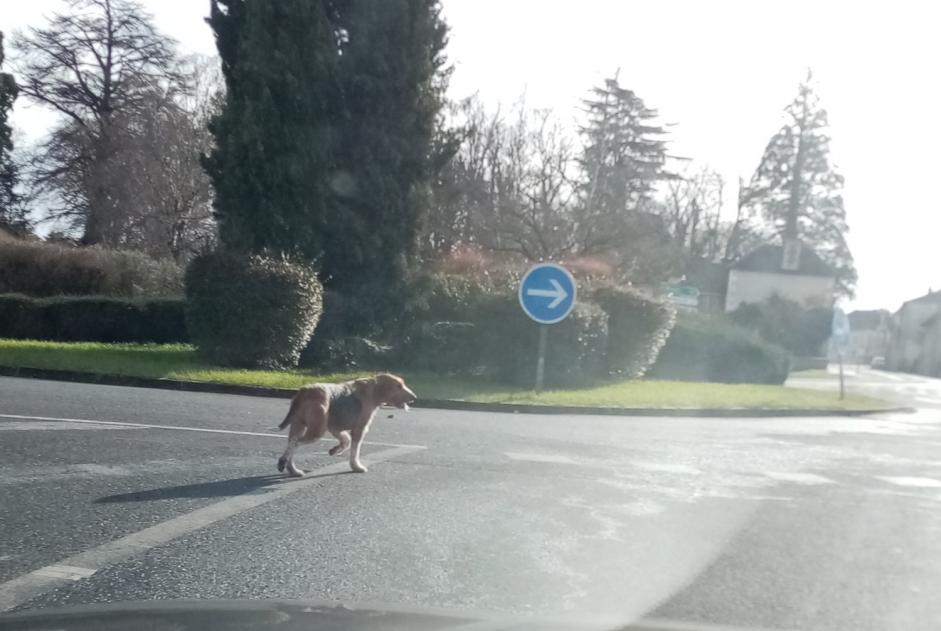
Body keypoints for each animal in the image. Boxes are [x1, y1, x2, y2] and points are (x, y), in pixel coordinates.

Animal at [276, 376, 414, 474]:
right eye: (399, 386)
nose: (414, 397)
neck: (374, 389)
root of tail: (304, 391)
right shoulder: (359, 429)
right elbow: (354, 450)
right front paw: (356, 467)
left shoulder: (335, 428)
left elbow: (346, 441)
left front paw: (335, 450)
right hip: (316, 430)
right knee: (295, 442)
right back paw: (283, 461)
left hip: (298, 425)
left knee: (292, 443)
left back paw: (293, 470)